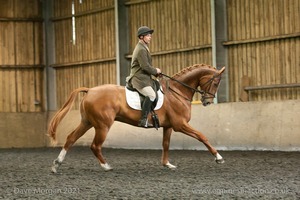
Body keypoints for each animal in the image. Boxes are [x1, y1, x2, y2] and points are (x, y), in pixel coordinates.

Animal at [48, 63, 225, 172]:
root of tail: (90, 90)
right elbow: (202, 136)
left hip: (87, 122)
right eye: (216, 83)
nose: (208, 102)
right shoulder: (180, 125)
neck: (177, 92)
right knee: (95, 146)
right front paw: (219, 157)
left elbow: (166, 144)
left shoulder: (168, 126)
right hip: (102, 125)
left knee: (71, 138)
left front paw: (167, 164)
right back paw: (106, 166)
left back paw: (57, 164)